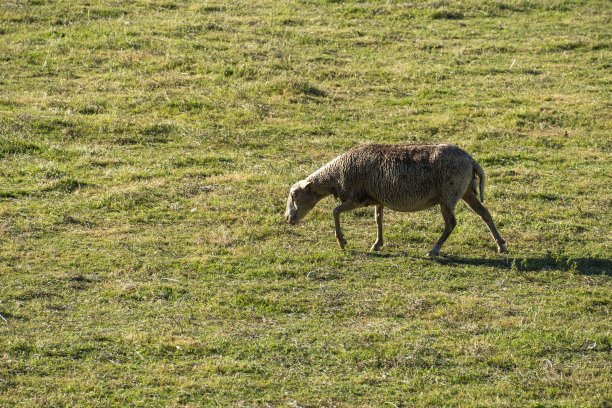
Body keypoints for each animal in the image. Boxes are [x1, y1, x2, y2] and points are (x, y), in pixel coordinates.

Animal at [284, 143, 510, 256]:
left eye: (294, 195)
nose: (287, 218)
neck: (335, 175)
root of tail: (472, 161)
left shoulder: (357, 197)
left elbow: (335, 212)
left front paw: (342, 242)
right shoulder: (377, 198)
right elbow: (378, 220)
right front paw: (377, 243)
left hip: (448, 194)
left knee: (451, 223)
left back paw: (434, 249)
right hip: (466, 191)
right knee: (484, 213)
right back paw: (501, 245)